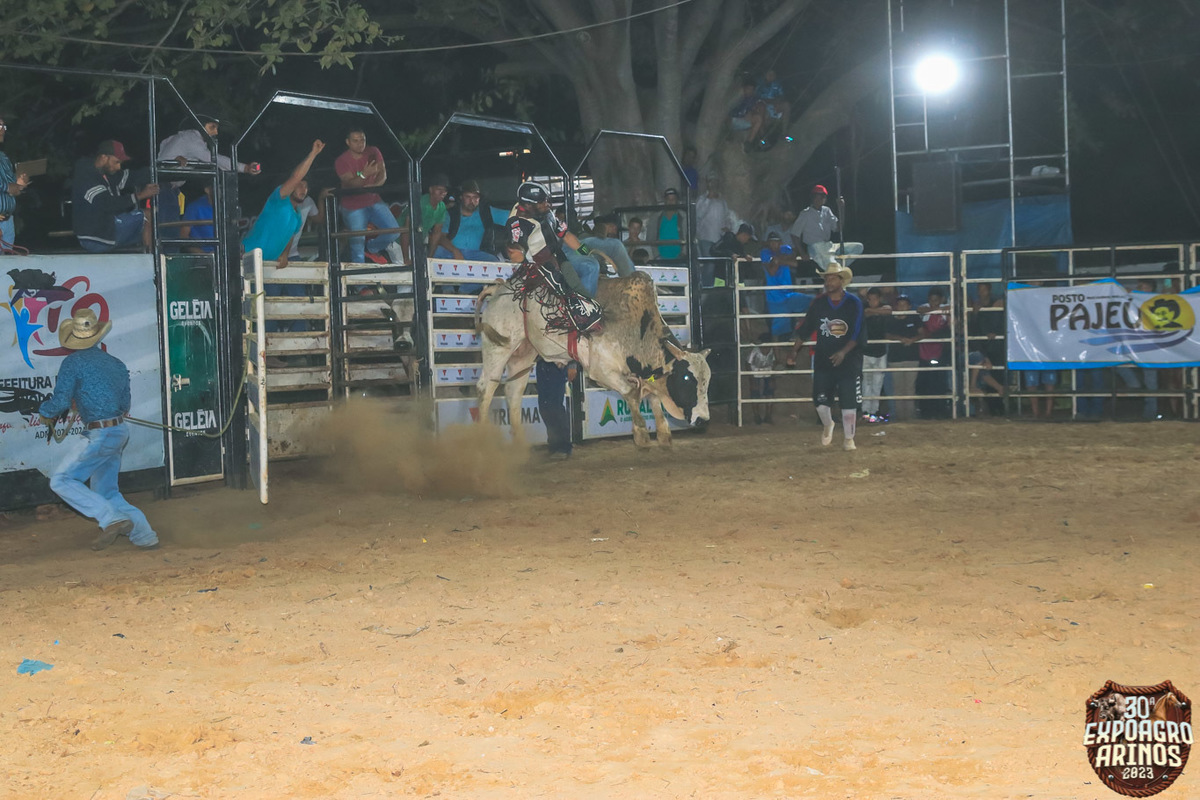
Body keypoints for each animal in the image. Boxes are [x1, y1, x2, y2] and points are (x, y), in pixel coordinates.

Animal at [474, 271, 710, 447]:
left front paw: (662, 432)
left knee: (513, 391)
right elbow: (631, 393)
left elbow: (650, 395)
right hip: (499, 347)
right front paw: (642, 434)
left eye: (707, 381)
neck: (637, 329)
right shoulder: (601, 370)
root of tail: (499, 289)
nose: (703, 420)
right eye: (687, 378)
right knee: (486, 388)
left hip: (523, 353)